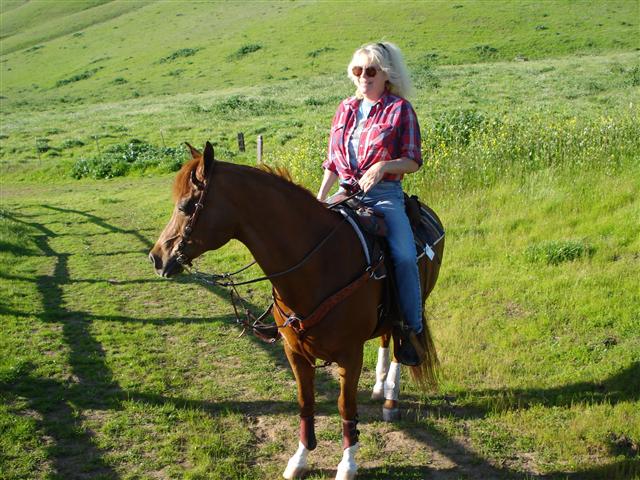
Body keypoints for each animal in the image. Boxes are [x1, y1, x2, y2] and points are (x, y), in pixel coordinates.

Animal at [149, 142, 444, 480]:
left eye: (186, 206)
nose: (156, 257)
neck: (317, 264)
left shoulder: (350, 355)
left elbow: (345, 407)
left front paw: (347, 464)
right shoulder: (294, 352)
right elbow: (305, 403)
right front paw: (300, 459)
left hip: (414, 300)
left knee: (400, 344)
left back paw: (391, 400)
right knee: (384, 337)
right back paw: (380, 387)